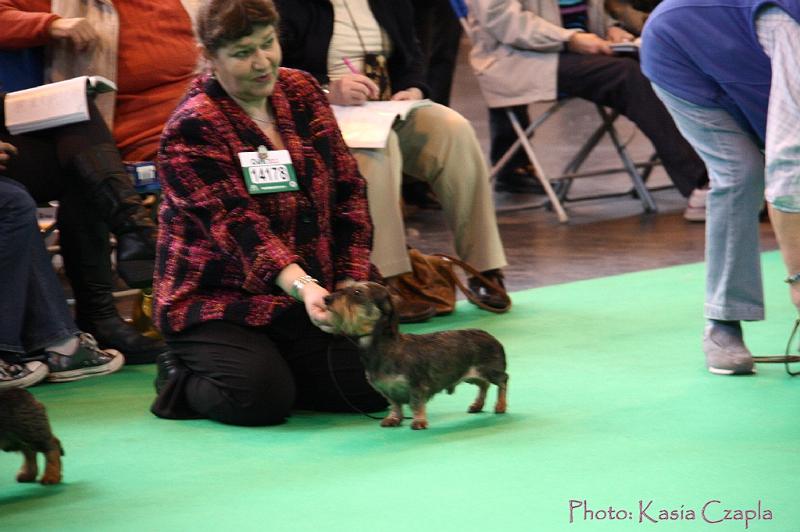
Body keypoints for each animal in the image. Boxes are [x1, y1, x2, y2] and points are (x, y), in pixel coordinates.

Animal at [324, 282, 506, 428]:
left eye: (357, 292)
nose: (326, 298)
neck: (387, 347)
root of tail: (489, 336)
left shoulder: (416, 386)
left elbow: (416, 404)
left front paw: (419, 421)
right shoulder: (388, 390)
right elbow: (395, 406)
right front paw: (393, 419)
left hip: (491, 371)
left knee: (503, 380)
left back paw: (501, 405)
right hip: (473, 375)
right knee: (483, 385)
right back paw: (477, 405)